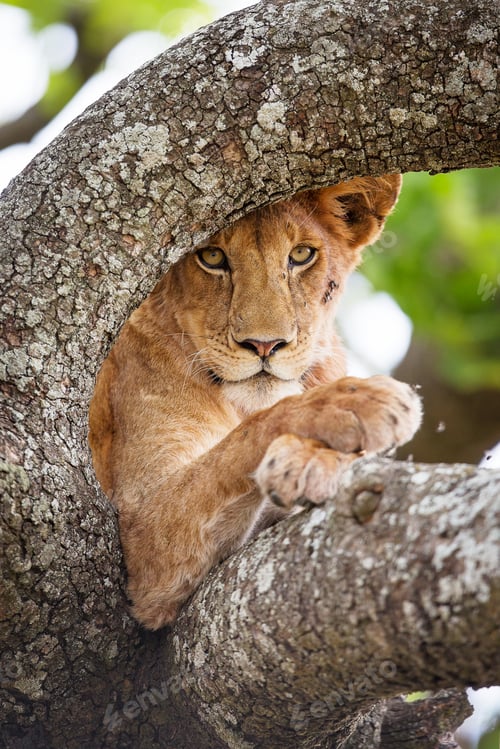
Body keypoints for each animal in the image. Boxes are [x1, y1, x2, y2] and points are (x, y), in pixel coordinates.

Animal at [88, 174, 422, 629]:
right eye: (211, 256)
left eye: (300, 255)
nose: (265, 345)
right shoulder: (142, 528)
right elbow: (248, 434)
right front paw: (356, 403)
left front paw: (313, 459)